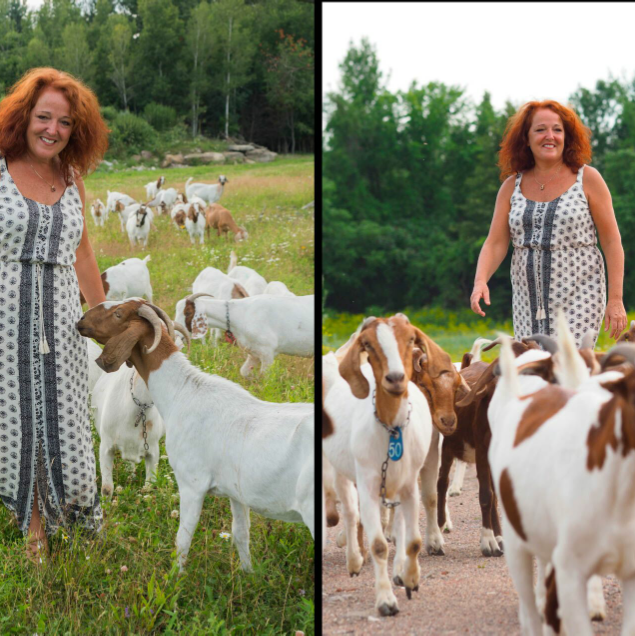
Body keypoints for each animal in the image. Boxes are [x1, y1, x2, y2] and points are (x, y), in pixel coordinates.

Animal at [77, 300, 316, 572]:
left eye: (117, 313)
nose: (81, 320)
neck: (183, 391)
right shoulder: (236, 493)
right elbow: (241, 534)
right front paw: (248, 574)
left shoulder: (192, 483)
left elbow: (183, 538)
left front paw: (175, 577)